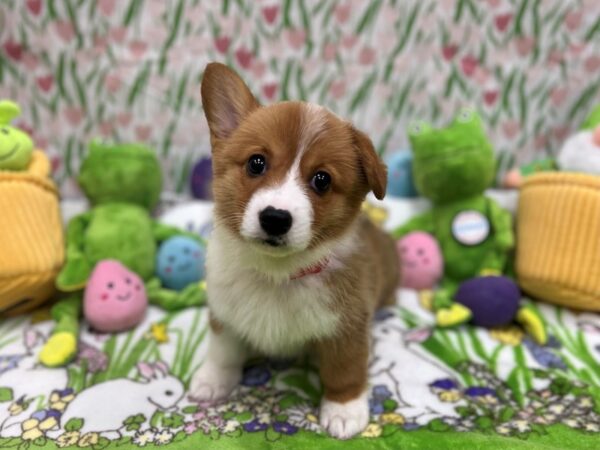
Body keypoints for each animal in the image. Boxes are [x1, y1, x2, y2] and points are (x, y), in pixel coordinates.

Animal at [192, 63, 398, 440]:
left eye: (322, 180)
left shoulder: (347, 328)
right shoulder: (224, 314)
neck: (278, 275)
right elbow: (222, 352)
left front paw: (344, 410)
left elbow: (345, 370)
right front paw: (211, 381)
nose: (275, 218)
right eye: (256, 163)